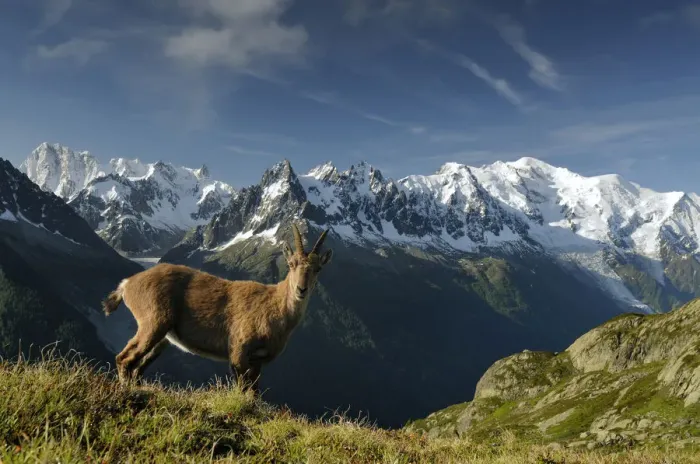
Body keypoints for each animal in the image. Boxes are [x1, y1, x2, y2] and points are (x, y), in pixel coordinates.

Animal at [101, 223, 333, 393]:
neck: (275, 307)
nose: (301, 289)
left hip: (163, 337)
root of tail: (128, 284)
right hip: (154, 321)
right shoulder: (238, 351)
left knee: (138, 366)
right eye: (291, 264)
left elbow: (254, 393)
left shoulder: (257, 361)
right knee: (124, 358)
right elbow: (242, 391)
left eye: (318, 269)